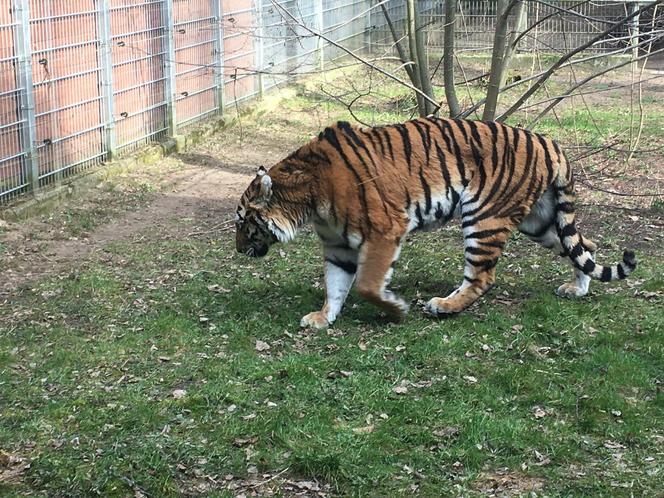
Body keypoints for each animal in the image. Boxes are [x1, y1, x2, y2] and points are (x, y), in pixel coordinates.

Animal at [235, 116, 640, 326]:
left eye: (243, 222)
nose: (238, 250)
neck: (307, 198)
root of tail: (549, 142)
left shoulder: (384, 230)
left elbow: (366, 285)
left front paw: (395, 309)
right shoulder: (337, 246)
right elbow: (335, 286)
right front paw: (323, 318)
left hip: (485, 216)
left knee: (482, 277)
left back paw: (444, 306)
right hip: (539, 221)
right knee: (583, 246)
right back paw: (578, 289)